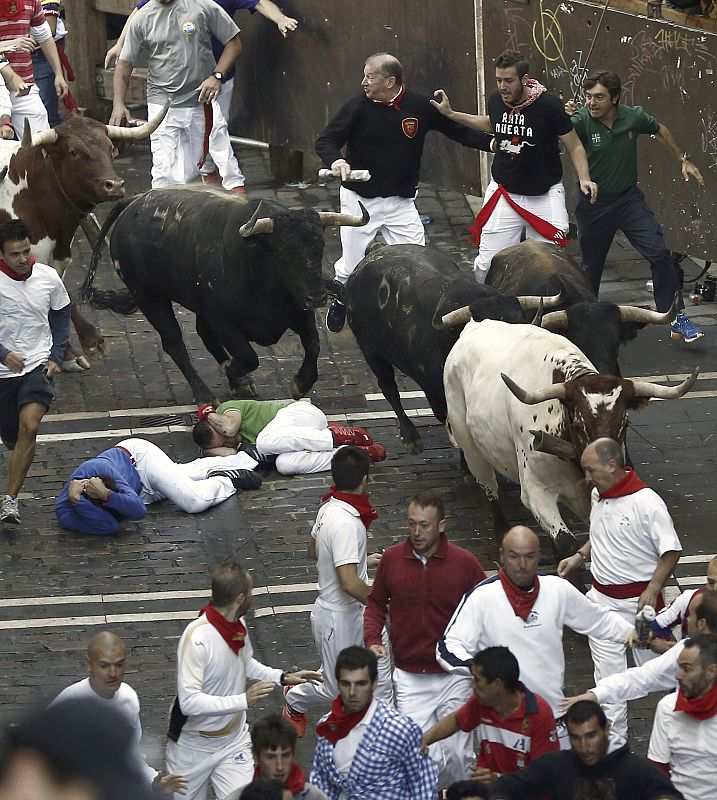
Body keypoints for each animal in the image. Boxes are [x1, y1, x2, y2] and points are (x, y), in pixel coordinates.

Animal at [0, 108, 167, 368]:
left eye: (110, 148)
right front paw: (90, 341)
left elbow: (58, 298)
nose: (114, 185)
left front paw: (67, 353)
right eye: (74, 152)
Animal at [81, 191, 366, 404]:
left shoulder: (299, 311)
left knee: (202, 332)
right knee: (174, 343)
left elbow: (313, 345)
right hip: (148, 296)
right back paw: (204, 393)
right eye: (284, 250)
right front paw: (232, 371)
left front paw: (300, 383)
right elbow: (248, 357)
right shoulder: (223, 320)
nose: (317, 297)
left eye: (319, 246)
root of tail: (135, 201)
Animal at [444, 318, 696, 556]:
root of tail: (474, 325)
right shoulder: (536, 491)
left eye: (625, 424)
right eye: (578, 425)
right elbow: (566, 544)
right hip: (472, 450)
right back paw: (502, 529)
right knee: (489, 485)